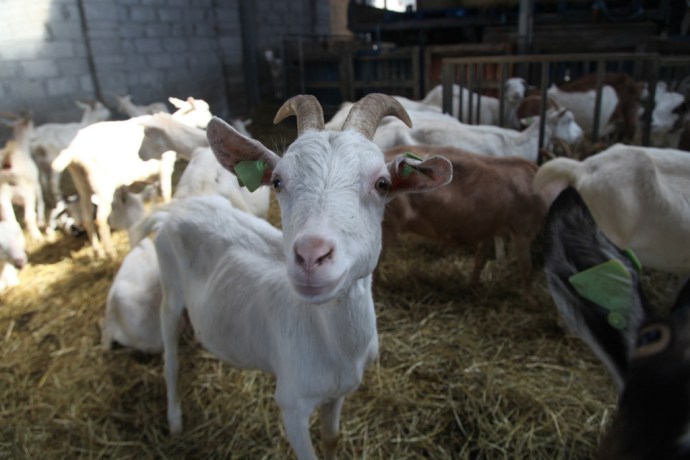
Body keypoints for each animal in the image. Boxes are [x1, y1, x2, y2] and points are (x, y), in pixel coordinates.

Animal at [142, 94, 452, 459]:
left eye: (382, 184)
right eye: (277, 181)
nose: (311, 255)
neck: (334, 345)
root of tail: (174, 210)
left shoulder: (339, 392)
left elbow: (331, 439)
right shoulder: (292, 405)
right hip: (170, 289)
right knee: (170, 360)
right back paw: (175, 421)